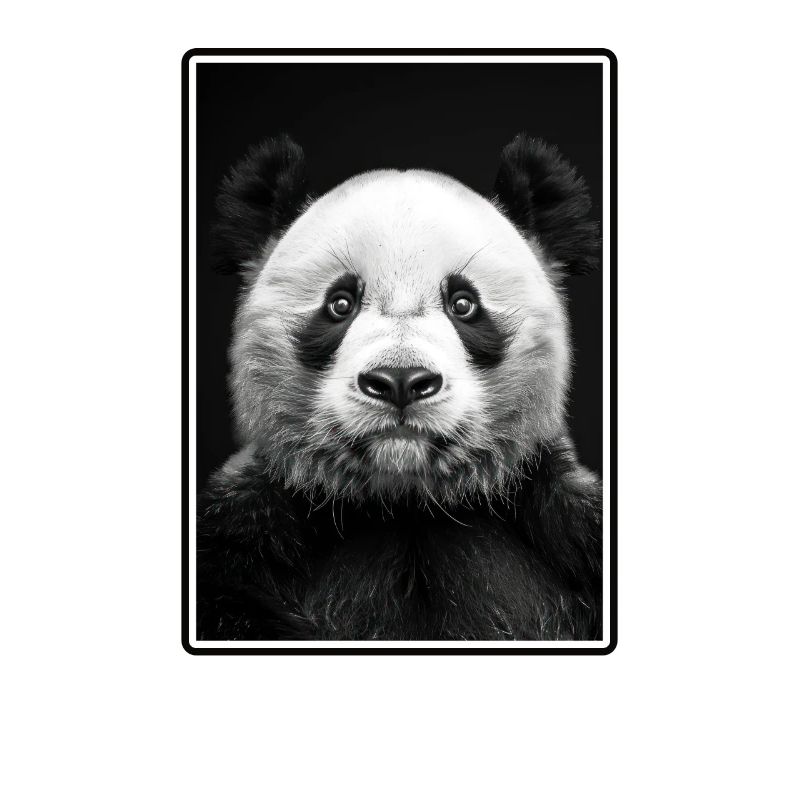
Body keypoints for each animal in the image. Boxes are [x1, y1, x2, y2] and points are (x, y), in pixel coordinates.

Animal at [197, 133, 602, 641]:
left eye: (464, 304)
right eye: (340, 303)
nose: (400, 382)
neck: (405, 505)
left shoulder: (562, 523)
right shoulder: (248, 527)